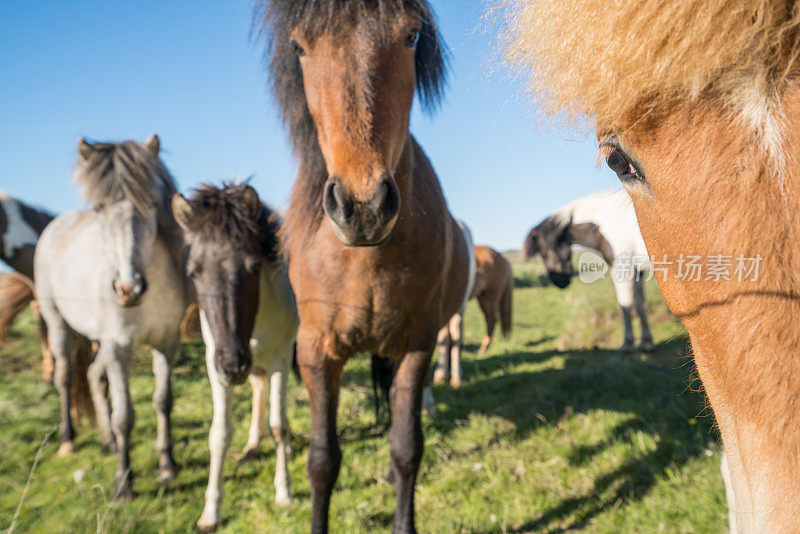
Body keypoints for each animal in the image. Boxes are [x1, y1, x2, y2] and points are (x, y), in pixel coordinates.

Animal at [34, 136, 188, 500]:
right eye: (100, 208)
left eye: (150, 203)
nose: (128, 288)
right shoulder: (119, 348)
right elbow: (125, 415)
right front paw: (124, 483)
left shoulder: (167, 342)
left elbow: (163, 401)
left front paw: (168, 466)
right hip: (59, 324)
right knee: (65, 375)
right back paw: (68, 440)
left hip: (99, 339)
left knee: (93, 376)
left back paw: (107, 441)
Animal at [173, 185, 300, 534]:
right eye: (193, 273)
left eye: (253, 268)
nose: (233, 364)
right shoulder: (214, 364)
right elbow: (219, 433)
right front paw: (211, 512)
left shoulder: (280, 359)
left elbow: (279, 425)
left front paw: (283, 492)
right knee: (258, 390)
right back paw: (253, 445)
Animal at [256, 2, 468, 532]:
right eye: (299, 47)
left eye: (411, 36)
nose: (363, 206)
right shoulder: (315, 351)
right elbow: (322, 461)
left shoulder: (417, 343)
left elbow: (406, 450)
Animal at [520, 191, 652, 354]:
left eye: (544, 253)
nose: (560, 282)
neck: (607, 221)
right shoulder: (637, 271)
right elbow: (640, 304)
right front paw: (645, 343)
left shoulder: (622, 268)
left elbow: (625, 305)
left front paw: (627, 344)